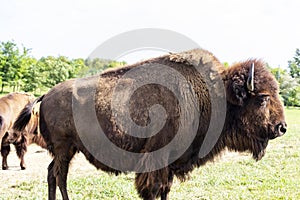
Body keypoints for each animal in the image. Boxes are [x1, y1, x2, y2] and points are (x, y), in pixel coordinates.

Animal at [12, 48, 288, 200]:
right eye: (263, 98)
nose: (282, 127)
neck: (212, 95)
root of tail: (46, 95)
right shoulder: (155, 162)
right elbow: (152, 190)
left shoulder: (170, 164)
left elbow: (165, 190)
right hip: (64, 148)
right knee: (58, 176)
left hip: (67, 150)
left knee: (53, 174)